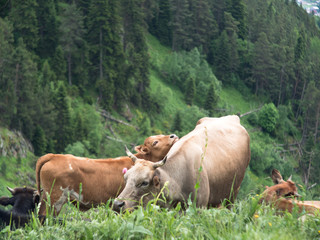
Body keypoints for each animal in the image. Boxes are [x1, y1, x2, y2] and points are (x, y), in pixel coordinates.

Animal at [114, 115, 251, 211]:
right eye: (125, 178)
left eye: (144, 183)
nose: (117, 204)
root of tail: (232, 117)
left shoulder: (199, 208)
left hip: (233, 194)